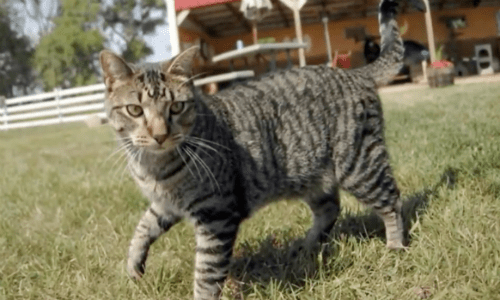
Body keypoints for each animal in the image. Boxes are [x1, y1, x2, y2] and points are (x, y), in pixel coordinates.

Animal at [99, 0, 404, 298]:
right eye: (135, 110)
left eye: (176, 107)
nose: (160, 135)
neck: (153, 167)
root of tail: (354, 73)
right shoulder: (165, 205)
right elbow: (143, 228)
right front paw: (133, 263)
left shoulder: (216, 215)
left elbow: (206, 273)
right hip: (313, 176)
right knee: (330, 209)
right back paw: (305, 247)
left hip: (359, 165)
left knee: (392, 201)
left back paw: (395, 247)